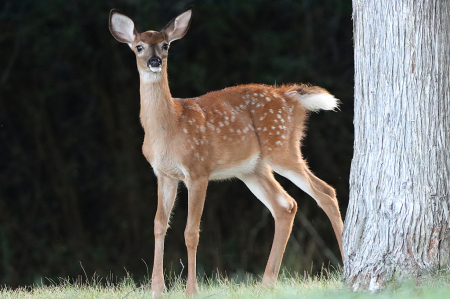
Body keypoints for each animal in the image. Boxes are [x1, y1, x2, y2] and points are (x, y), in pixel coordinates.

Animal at [110, 5, 344, 298]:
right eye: (139, 46)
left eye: (165, 45)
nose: (155, 61)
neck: (169, 127)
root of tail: (289, 95)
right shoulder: (164, 173)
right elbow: (158, 225)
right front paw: (157, 289)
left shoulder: (198, 170)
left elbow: (191, 232)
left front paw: (191, 290)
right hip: (253, 168)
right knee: (286, 205)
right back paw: (267, 283)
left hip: (281, 147)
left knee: (325, 192)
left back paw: (345, 267)